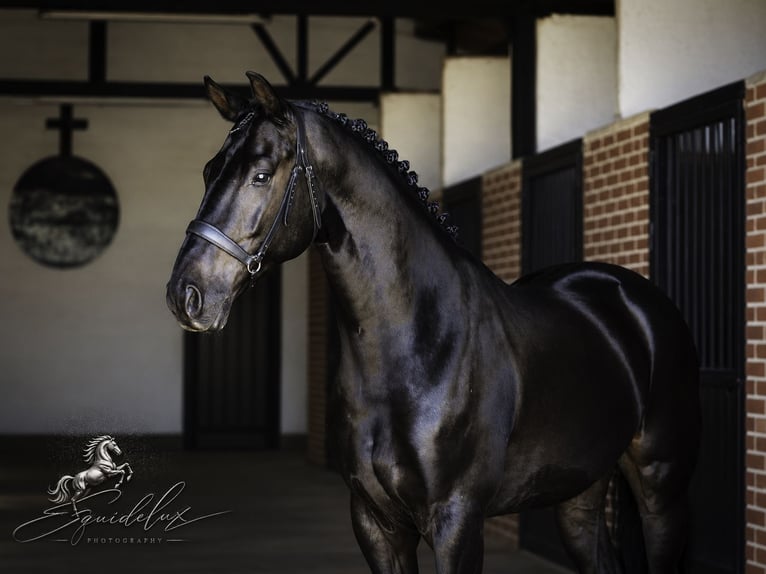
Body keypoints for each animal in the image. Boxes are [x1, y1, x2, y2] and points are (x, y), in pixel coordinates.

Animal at [166, 72, 700, 574]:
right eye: (210, 172)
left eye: (259, 175)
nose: (185, 295)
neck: (418, 346)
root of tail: (634, 296)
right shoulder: (375, 522)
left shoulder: (456, 521)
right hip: (579, 493)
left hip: (661, 486)